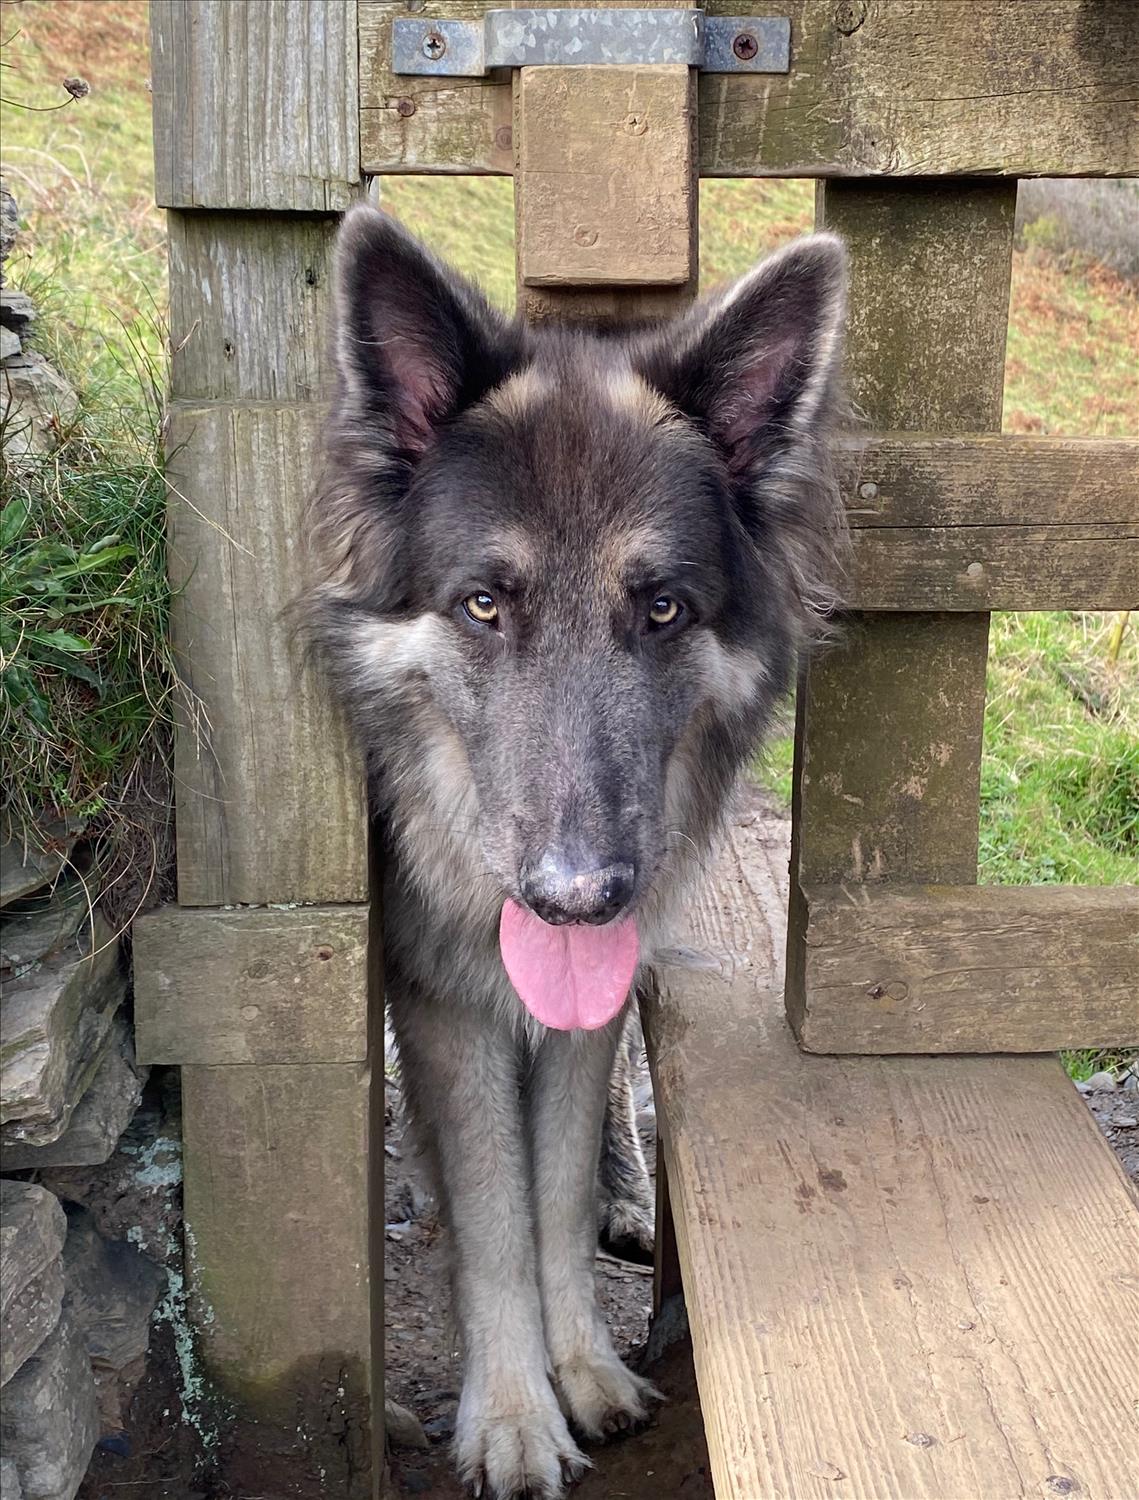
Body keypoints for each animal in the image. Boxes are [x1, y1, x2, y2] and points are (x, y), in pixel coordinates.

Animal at [304, 202, 846, 1500]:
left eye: (661, 609)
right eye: (482, 606)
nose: (578, 895)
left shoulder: (580, 1008)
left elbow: (547, 1191)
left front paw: (581, 1370)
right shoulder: (445, 1001)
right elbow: (496, 1211)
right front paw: (508, 1412)